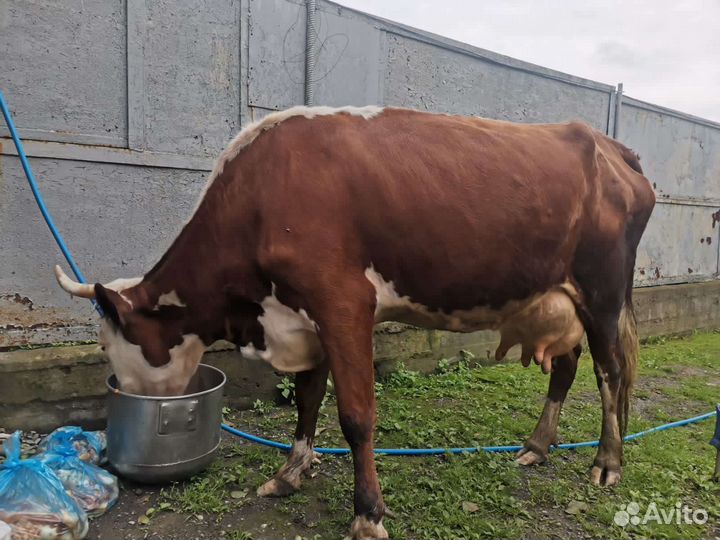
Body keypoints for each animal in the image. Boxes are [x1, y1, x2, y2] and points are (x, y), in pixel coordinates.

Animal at [55, 105, 655, 539]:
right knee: (567, 366)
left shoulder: (342, 303)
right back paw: (538, 445)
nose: (119, 396)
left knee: (610, 372)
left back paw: (607, 461)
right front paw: (291, 472)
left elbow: (356, 415)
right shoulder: (303, 316)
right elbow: (307, 398)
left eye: (110, 347)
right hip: (557, 297)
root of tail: (609, 145)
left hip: (603, 291)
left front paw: (368, 514)